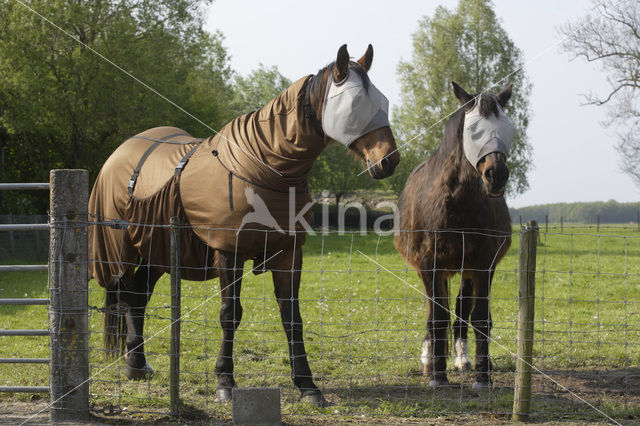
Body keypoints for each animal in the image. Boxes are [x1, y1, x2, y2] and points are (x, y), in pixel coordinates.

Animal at [89, 44, 400, 406]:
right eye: (354, 102)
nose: (389, 160)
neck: (266, 166)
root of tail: (119, 154)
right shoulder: (228, 252)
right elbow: (230, 314)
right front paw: (225, 381)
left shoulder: (288, 255)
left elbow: (292, 318)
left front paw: (307, 385)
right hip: (122, 251)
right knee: (127, 293)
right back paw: (135, 362)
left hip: (157, 251)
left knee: (137, 295)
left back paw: (136, 364)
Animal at [396, 82, 516, 390]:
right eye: (472, 129)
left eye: (508, 128)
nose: (496, 175)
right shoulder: (430, 266)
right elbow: (437, 318)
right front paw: (438, 376)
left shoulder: (483, 264)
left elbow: (480, 317)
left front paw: (483, 377)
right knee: (432, 312)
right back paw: (428, 360)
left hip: (466, 270)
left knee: (462, 309)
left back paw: (462, 359)